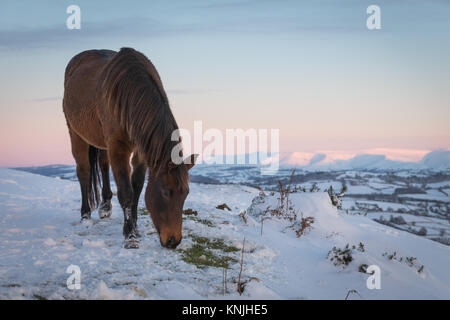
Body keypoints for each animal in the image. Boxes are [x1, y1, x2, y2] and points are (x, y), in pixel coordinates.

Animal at [63, 47, 197, 249]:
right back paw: (85, 216)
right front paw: (130, 236)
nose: (173, 241)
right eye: (166, 192)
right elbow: (126, 191)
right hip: (76, 134)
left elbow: (137, 188)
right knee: (84, 172)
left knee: (103, 165)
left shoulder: (141, 151)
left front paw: (135, 227)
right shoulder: (118, 147)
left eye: (186, 193)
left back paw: (105, 207)